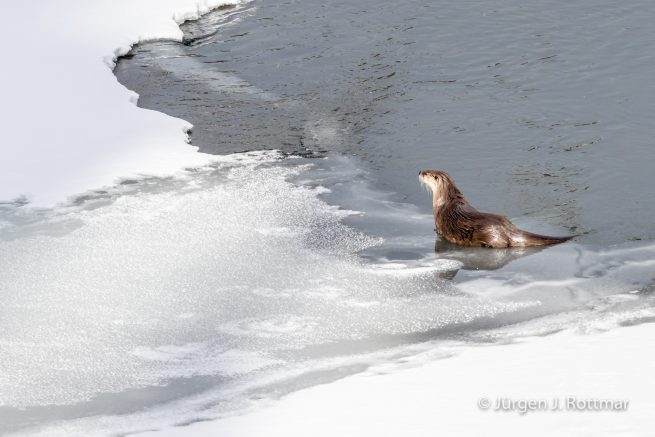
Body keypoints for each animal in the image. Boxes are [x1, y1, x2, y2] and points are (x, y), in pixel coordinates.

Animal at [419, 170, 574, 248]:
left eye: (426, 173)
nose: (420, 171)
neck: (446, 199)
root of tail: (508, 229)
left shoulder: (438, 221)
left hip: (491, 235)